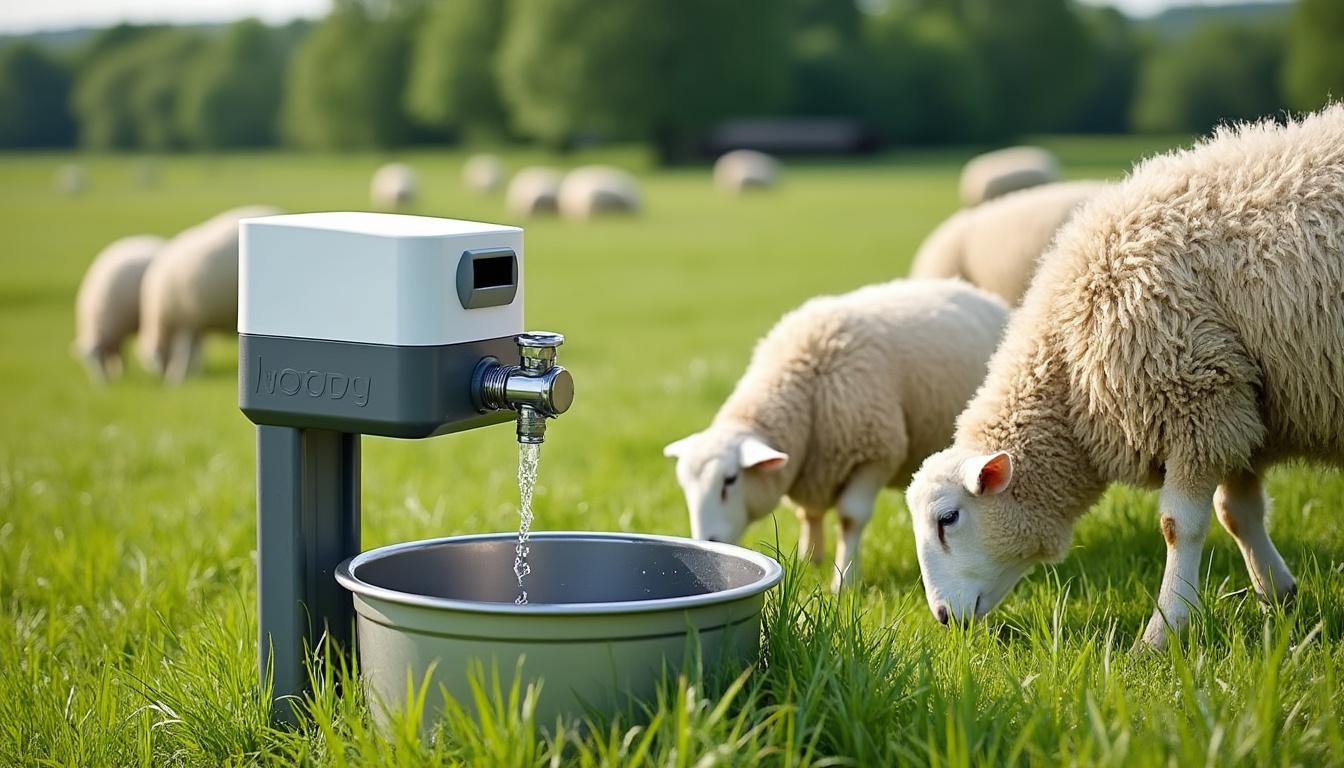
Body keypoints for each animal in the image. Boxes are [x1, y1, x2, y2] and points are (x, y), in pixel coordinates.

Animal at [73, 234, 165, 382]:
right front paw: (120, 375)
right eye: (86, 363)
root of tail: (157, 240)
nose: (100, 382)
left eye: (99, 355)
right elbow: (118, 353)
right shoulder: (115, 333)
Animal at [137, 205, 281, 383]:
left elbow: (185, 352)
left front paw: (177, 377)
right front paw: (192, 373)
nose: (161, 378)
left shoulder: (187, 321)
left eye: (151, 363)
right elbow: (195, 350)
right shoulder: (195, 323)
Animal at [664, 279, 1009, 592]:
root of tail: (981, 293)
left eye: (730, 481)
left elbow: (850, 517)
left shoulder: (876, 454)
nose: (708, 541)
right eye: (685, 486)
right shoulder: (812, 469)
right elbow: (809, 514)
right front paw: (809, 561)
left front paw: (844, 581)